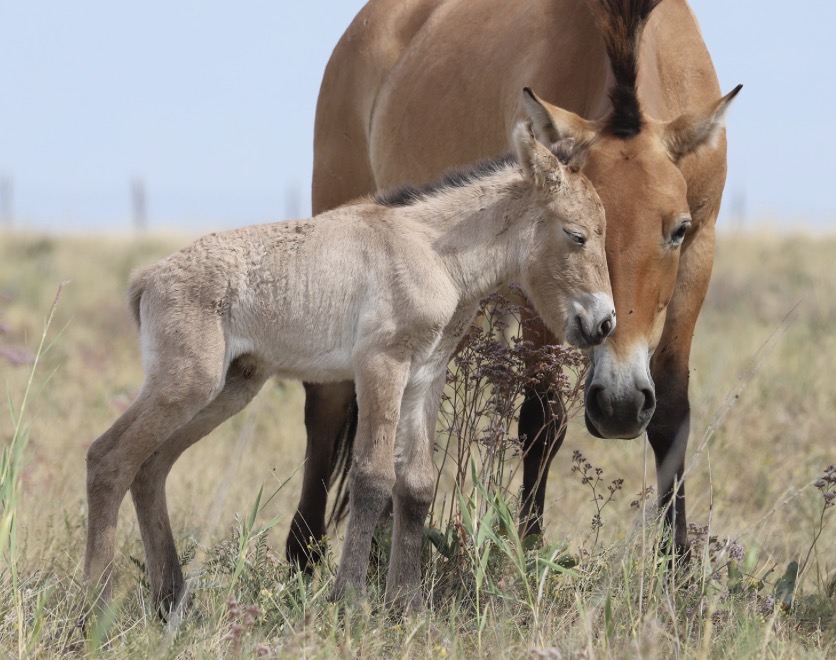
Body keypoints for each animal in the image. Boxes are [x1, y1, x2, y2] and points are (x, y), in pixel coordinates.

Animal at [84, 116, 615, 613]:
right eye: (576, 235)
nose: (604, 323)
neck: (433, 252)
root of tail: (148, 277)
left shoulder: (424, 377)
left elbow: (417, 484)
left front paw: (407, 605)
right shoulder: (381, 364)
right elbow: (373, 477)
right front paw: (350, 601)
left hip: (229, 389)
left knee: (150, 467)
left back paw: (171, 600)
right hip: (187, 384)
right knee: (109, 458)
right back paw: (93, 605)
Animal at [287, 0, 741, 571]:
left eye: (677, 230)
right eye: (570, 231)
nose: (618, 406)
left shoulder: (700, 254)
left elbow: (673, 412)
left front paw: (677, 565)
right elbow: (542, 419)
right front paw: (527, 551)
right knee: (325, 404)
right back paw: (305, 552)